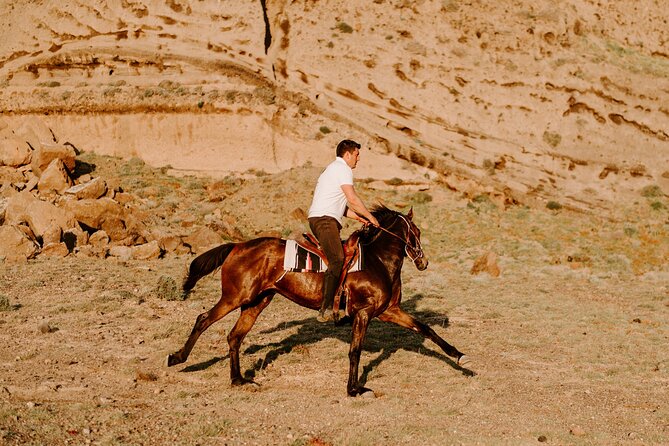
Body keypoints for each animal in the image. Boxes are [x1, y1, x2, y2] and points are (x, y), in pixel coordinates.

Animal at [167, 206, 467, 396]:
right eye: (415, 232)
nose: (423, 261)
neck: (378, 260)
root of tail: (237, 246)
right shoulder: (364, 313)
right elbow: (355, 350)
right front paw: (353, 389)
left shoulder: (389, 311)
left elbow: (425, 328)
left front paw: (458, 355)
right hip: (235, 296)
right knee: (203, 319)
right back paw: (178, 357)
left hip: (257, 302)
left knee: (234, 336)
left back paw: (239, 380)